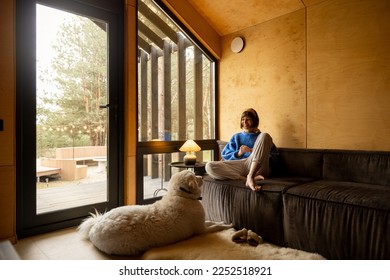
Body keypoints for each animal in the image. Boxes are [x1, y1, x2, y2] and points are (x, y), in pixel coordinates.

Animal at [79, 168, 232, 256]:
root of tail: (95, 227)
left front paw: (223, 221)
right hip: (126, 247)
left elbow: (211, 221)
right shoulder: (201, 230)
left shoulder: (202, 223)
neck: (182, 195)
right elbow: (216, 226)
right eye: (194, 176)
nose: (202, 176)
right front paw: (228, 225)